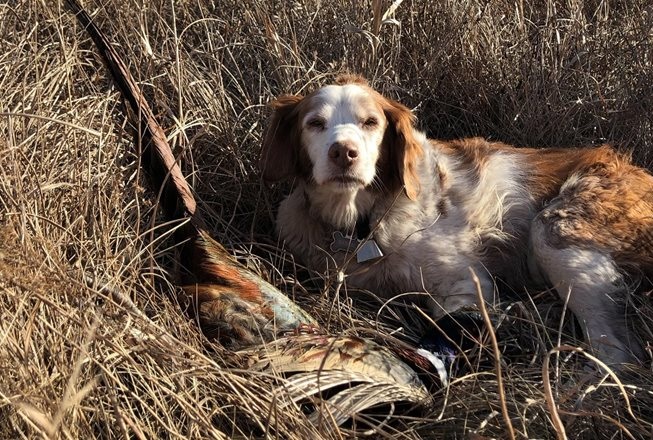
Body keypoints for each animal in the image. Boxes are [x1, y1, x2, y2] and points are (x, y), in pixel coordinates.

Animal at [260, 75, 652, 364]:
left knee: (621, 353)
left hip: (555, 231)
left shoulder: (466, 283)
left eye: (370, 122)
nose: (344, 152)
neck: (361, 225)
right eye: (315, 123)